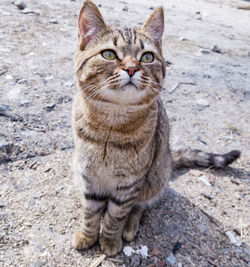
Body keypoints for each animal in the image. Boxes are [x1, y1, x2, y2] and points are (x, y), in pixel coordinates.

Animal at [72, 0, 240, 258]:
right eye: (108, 54)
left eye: (147, 57)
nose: (132, 69)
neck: (111, 125)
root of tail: (170, 158)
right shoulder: (89, 179)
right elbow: (90, 214)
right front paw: (87, 235)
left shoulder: (129, 184)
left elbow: (115, 217)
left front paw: (109, 240)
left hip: (155, 178)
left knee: (139, 206)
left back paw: (130, 227)